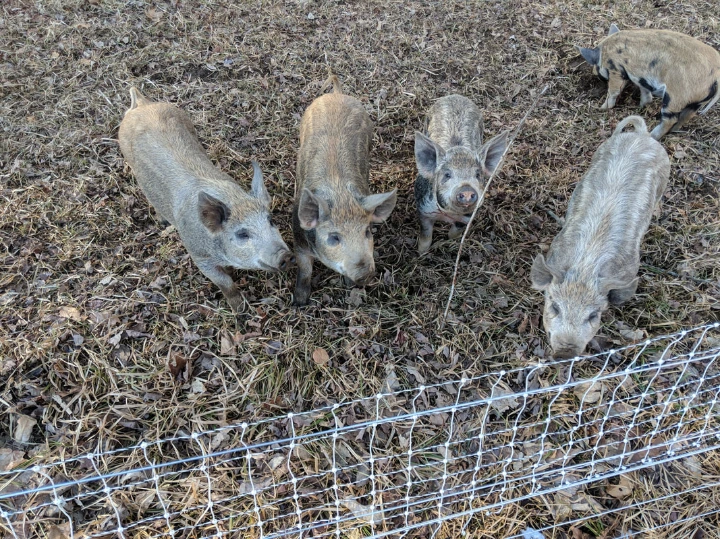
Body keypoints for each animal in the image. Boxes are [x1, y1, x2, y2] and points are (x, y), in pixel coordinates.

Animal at [118, 87, 294, 312]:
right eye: (242, 234)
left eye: (270, 220)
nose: (286, 255)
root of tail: (141, 104)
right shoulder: (199, 256)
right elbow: (225, 283)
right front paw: (240, 310)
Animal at [292, 75, 397, 306]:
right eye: (334, 238)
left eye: (367, 231)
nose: (366, 275)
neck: (340, 196)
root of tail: (336, 94)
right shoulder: (299, 242)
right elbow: (304, 270)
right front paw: (299, 303)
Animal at [414, 94, 509, 254]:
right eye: (447, 175)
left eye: (478, 174)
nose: (466, 189)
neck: (449, 214)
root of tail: (456, 96)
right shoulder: (423, 209)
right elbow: (426, 235)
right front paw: (421, 254)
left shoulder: (468, 218)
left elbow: (454, 233)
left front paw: (448, 242)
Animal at [577, 24, 720, 139]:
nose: (595, 74)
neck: (604, 53)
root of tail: (716, 75)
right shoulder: (641, 79)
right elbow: (645, 92)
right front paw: (641, 106)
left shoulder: (615, 69)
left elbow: (614, 90)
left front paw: (602, 108)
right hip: (696, 103)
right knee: (686, 116)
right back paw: (674, 131)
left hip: (676, 96)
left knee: (670, 119)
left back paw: (651, 135)